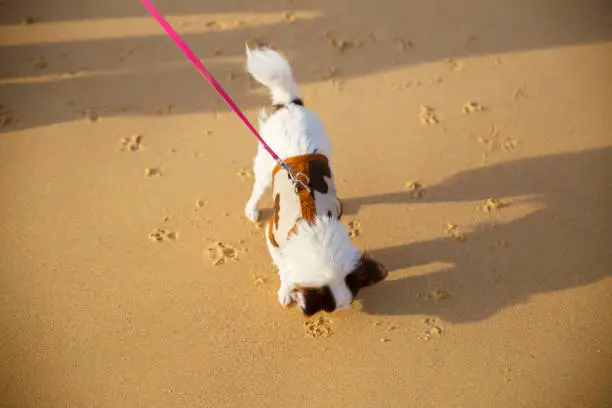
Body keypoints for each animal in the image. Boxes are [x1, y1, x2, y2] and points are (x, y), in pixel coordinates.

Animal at [244, 47, 388, 316]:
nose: (347, 309)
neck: (315, 228)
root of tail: (291, 105)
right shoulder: (274, 238)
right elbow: (285, 269)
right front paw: (286, 291)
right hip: (265, 165)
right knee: (258, 187)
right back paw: (252, 209)